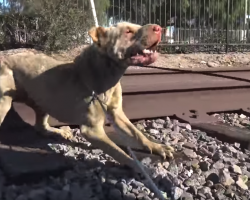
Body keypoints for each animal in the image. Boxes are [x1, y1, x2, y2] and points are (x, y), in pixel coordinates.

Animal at [0, 22, 175, 172]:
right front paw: (139, 167)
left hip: (41, 100)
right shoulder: (92, 130)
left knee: (40, 126)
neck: (107, 74)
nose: (159, 27)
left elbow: (137, 133)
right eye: (128, 31)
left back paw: (58, 132)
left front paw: (157, 146)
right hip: (4, 103)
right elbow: (118, 151)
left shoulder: (117, 113)